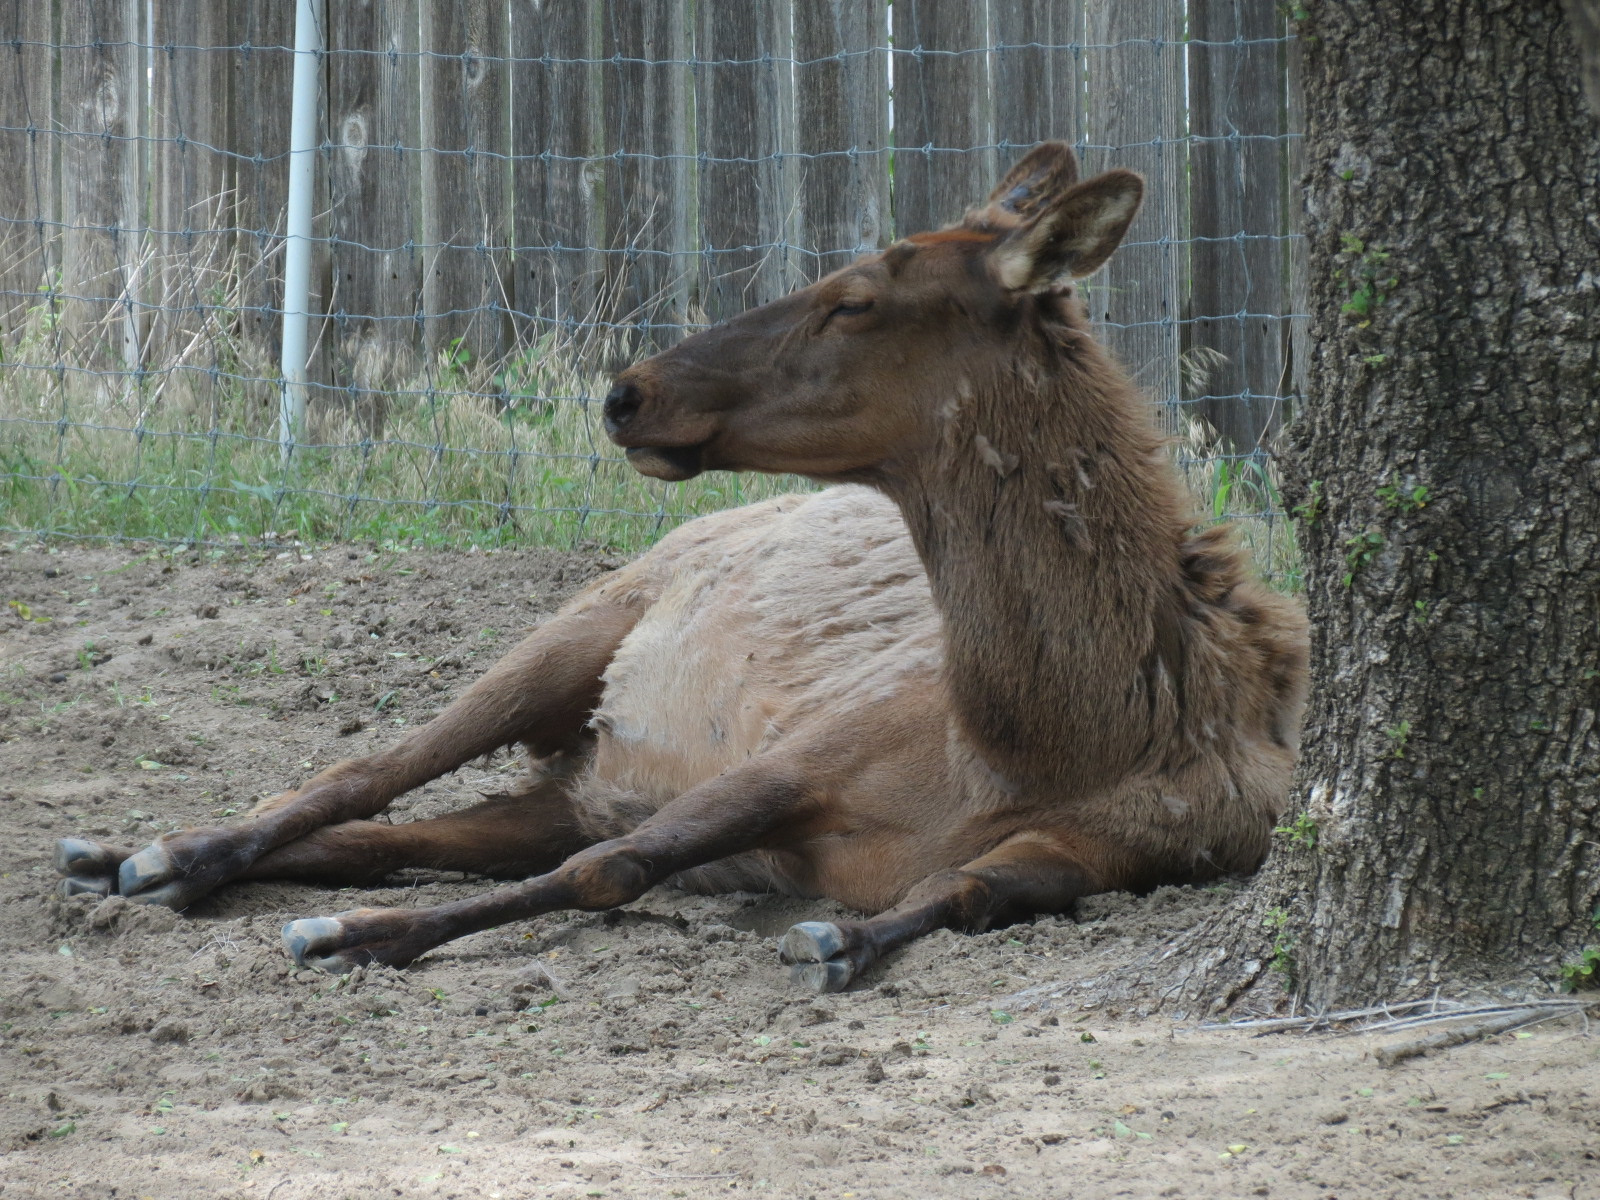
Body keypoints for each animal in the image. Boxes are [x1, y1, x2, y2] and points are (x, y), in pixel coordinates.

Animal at [52, 143, 1307, 992]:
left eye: (856, 299)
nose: (626, 391)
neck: (1050, 734)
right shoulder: (794, 754)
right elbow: (616, 871)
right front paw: (357, 943)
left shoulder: (1128, 850)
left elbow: (968, 890)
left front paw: (843, 936)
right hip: (583, 621)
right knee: (360, 773)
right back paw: (154, 850)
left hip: (565, 785)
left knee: (385, 839)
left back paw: (136, 860)